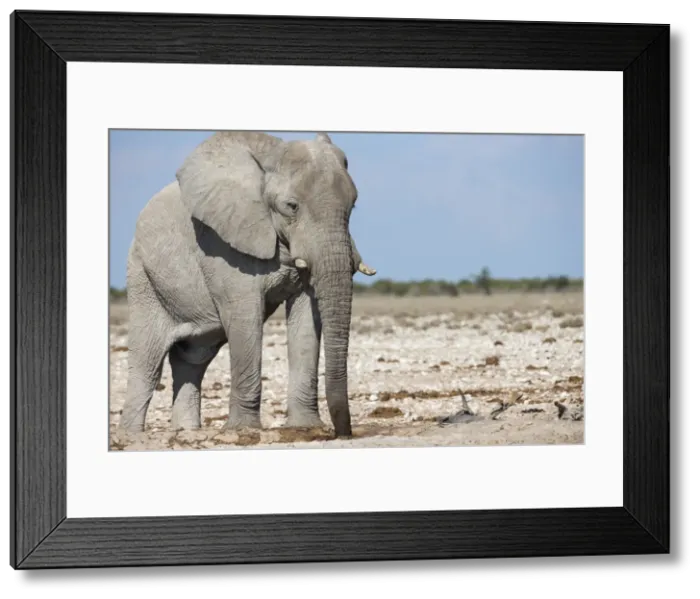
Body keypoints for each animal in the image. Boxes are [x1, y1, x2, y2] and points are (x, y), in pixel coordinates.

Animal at [117, 131, 376, 438]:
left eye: (353, 205)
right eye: (291, 207)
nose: (342, 433)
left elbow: (306, 318)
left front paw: (305, 427)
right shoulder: (221, 244)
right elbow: (245, 316)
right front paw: (244, 430)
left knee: (192, 360)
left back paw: (188, 432)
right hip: (143, 277)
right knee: (147, 363)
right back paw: (132, 436)